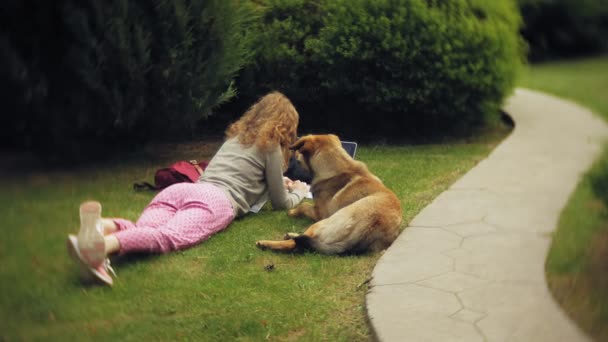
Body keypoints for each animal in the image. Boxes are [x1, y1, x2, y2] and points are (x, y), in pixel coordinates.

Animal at [254, 134, 402, 254]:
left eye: (297, 158)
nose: (285, 172)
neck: (339, 165)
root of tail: (368, 227)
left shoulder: (320, 214)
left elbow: (304, 205)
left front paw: (292, 211)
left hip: (322, 223)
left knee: (296, 244)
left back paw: (266, 243)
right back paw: (291, 235)